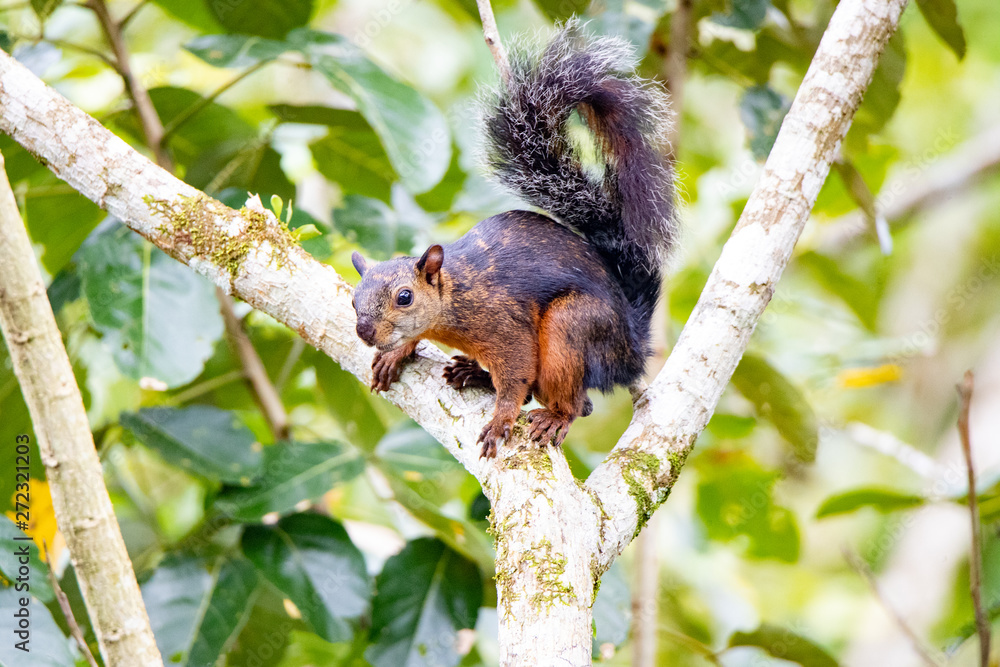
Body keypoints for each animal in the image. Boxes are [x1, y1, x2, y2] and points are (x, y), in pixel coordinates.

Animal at [350, 21, 676, 459]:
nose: (365, 332)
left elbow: (517, 371)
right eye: (354, 300)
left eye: (405, 297)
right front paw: (396, 354)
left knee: (576, 402)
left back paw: (554, 415)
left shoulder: (504, 325)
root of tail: (632, 347)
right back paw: (473, 371)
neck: (455, 295)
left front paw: (501, 419)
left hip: (574, 327)